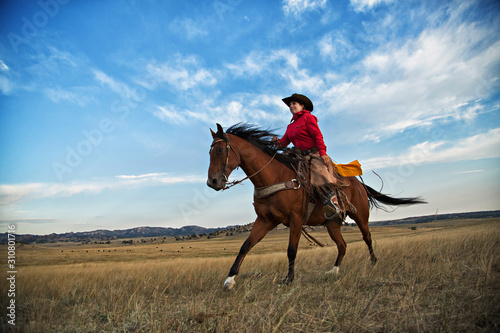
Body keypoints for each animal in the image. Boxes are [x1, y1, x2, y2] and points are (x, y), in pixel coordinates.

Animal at [206, 122, 422, 288]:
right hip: (333, 224)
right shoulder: (266, 220)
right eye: (210, 151)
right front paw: (230, 279)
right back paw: (333, 271)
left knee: (367, 237)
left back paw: (373, 262)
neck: (274, 176)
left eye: (220, 150)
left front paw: (289, 279)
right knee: (342, 246)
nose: (212, 182)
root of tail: (359, 184)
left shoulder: (295, 219)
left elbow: (291, 250)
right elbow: (245, 246)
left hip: (361, 216)